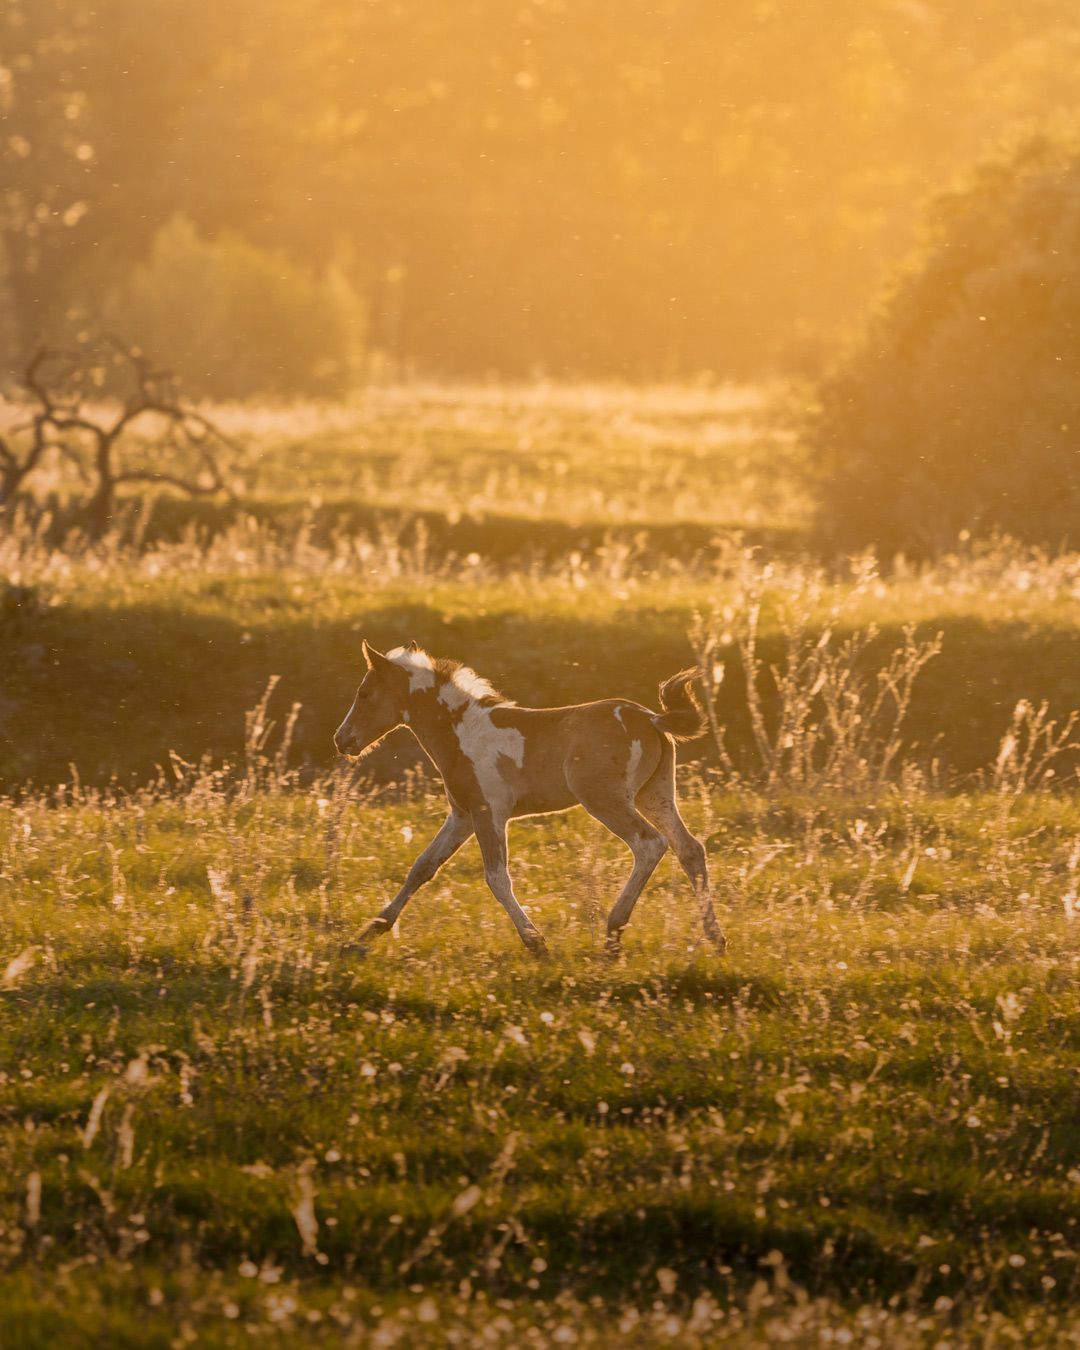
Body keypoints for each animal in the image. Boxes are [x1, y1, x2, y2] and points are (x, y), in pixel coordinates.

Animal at [333, 645, 729, 955]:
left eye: (364, 693)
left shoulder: (488, 813)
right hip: (655, 795)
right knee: (689, 849)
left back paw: (614, 932)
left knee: (650, 844)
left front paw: (535, 942)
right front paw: (369, 931)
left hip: (605, 800)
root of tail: (652, 718)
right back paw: (716, 938)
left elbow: (496, 877)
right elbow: (422, 867)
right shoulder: (462, 816)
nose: (342, 739)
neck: (462, 733)